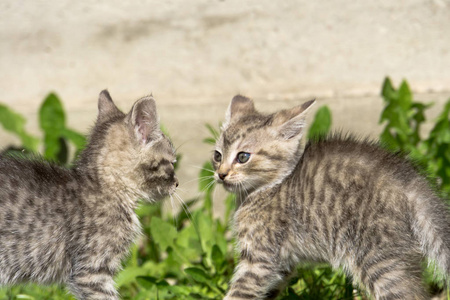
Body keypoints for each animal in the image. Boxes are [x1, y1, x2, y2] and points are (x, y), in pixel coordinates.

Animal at [214, 95, 450, 300]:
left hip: (379, 258)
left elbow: (239, 292)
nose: (221, 174)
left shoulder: (259, 258)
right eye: (217, 156)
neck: (265, 189)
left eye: (243, 157)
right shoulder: (282, 265)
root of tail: (413, 184)